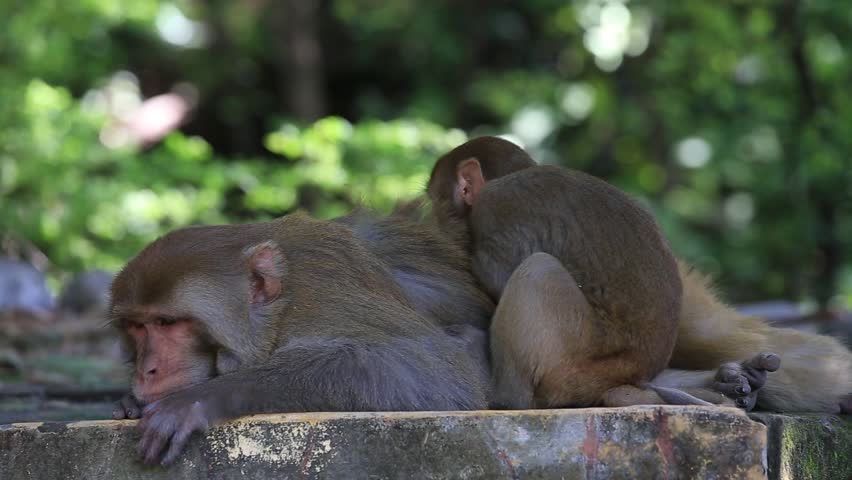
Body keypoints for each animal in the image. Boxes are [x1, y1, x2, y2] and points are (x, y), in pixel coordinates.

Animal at [432, 137, 852, 414]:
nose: (433, 210)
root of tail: (617, 377)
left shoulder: (497, 207)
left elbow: (498, 272)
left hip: (572, 361)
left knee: (538, 270)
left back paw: (507, 397)